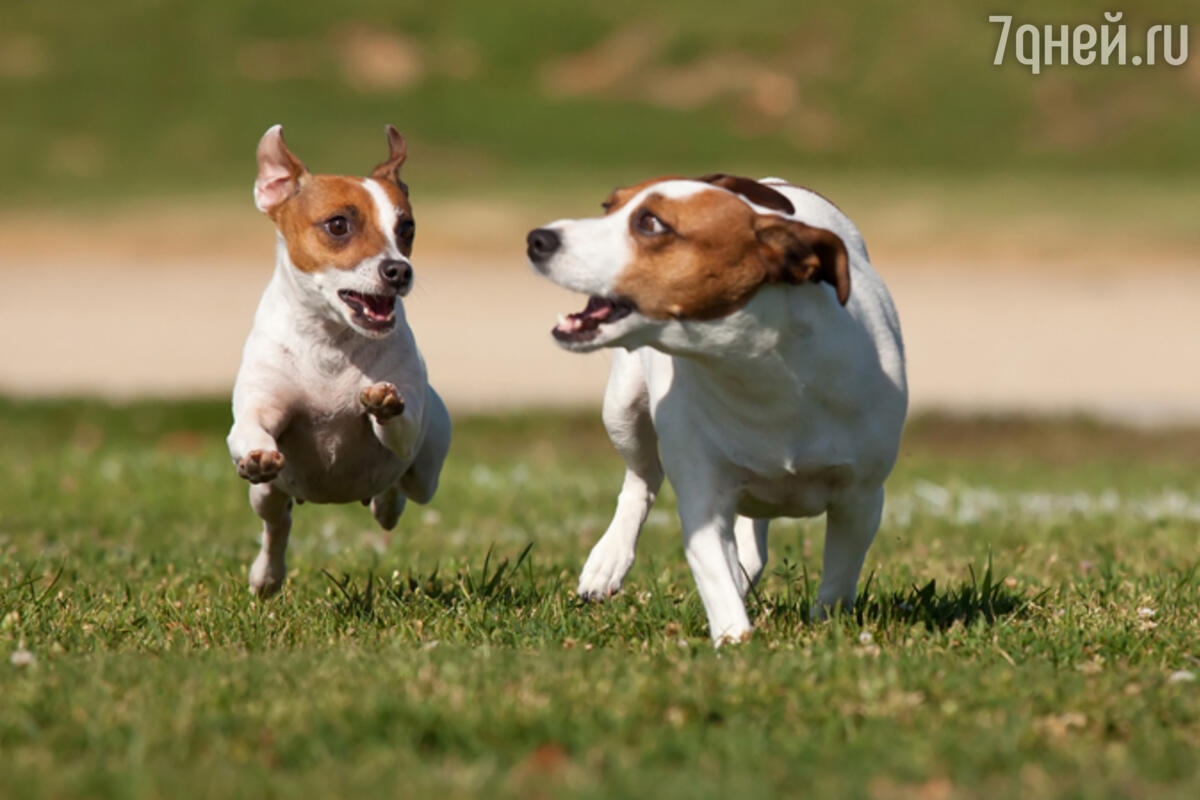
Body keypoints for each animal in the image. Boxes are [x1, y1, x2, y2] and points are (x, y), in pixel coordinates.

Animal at [225, 125, 451, 597]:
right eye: (338, 225)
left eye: (407, 228)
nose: (399, 270)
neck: (331, 344)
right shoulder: (260, 408)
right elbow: (251, 429)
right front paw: (257, 450)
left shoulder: (409, 431)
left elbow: (397, 421)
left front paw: (383, 402)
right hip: (266, 495)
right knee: (277, 524)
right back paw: (266, 576)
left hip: (427, 468)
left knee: (401, 488)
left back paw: (385, 505)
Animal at [530, 173, 902, 642]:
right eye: (607, 207)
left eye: (650, 223)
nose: (537, 238)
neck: (758, 369)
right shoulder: (703, 497)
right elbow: (715, 577)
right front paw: (736, 640)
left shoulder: (861, 498)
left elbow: (838, 576)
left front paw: (825, 626)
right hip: (622, 408)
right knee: (642, 479)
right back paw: (608, 560)